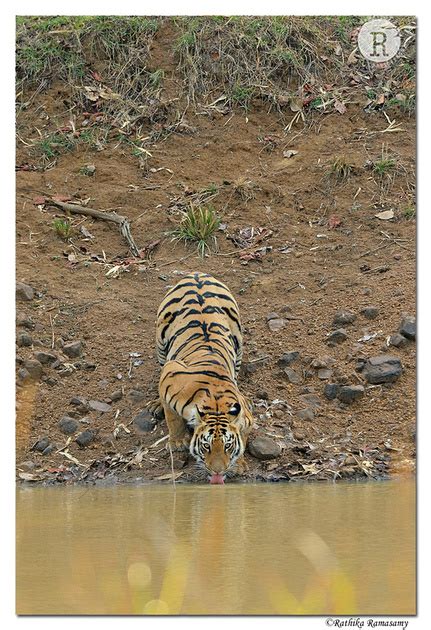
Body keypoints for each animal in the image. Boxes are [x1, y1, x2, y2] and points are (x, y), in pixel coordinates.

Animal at [150, 270, 255, 484]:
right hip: (161, 344)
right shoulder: (170, 373)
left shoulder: (246, 419)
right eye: (206, 446)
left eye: (227, 446)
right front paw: (177, 442)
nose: (217, 472)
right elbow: (172, 418)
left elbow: (243, 436)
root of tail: (196, 274)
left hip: (238, 339)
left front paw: (238, 465)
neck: (216, 404)